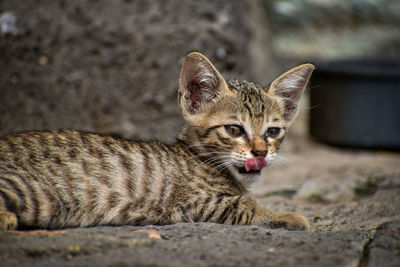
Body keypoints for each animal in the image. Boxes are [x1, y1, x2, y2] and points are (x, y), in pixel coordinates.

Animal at [0, 52, 314, 232]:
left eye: (272, 132)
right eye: (234, 129)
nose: (261, 152)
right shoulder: (200, 203)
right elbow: (248, 207)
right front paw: (290, 216)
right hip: (28, 190)